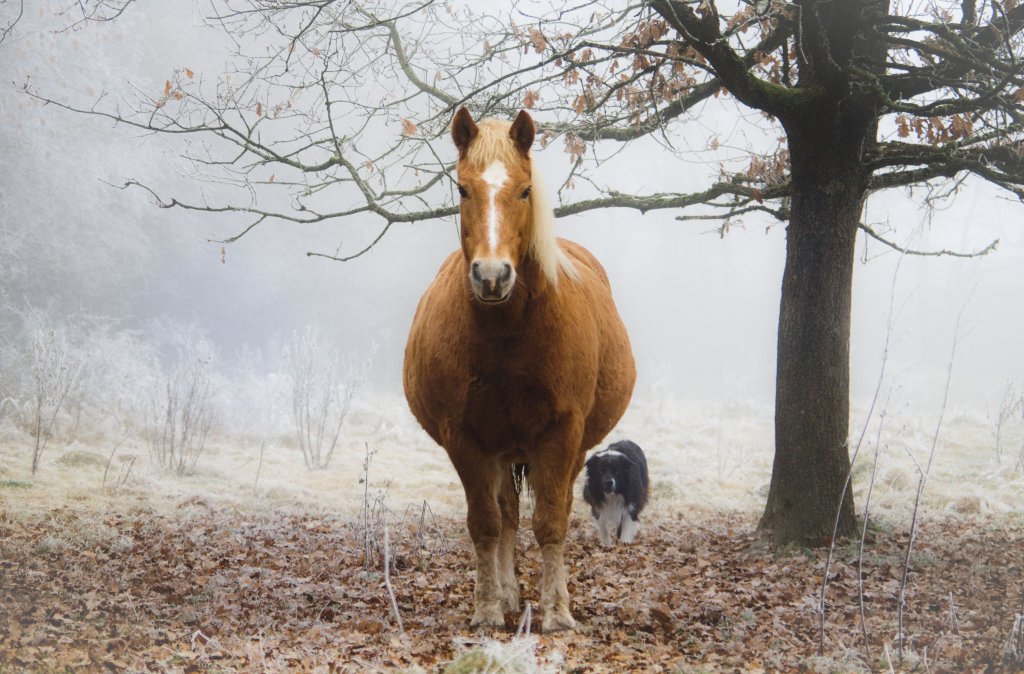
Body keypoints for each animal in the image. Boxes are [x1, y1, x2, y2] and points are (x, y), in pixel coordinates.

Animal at [403, 106, 634, 630]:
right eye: (463, 189)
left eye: (525, 190)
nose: (492, 276)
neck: (506, 337)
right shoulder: (466, 440)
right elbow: (486, 524)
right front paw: (488, 607)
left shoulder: (562, 435)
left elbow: (550, 521)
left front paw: (557, 611)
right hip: (501, 451)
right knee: (506, 514)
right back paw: (508, 593)